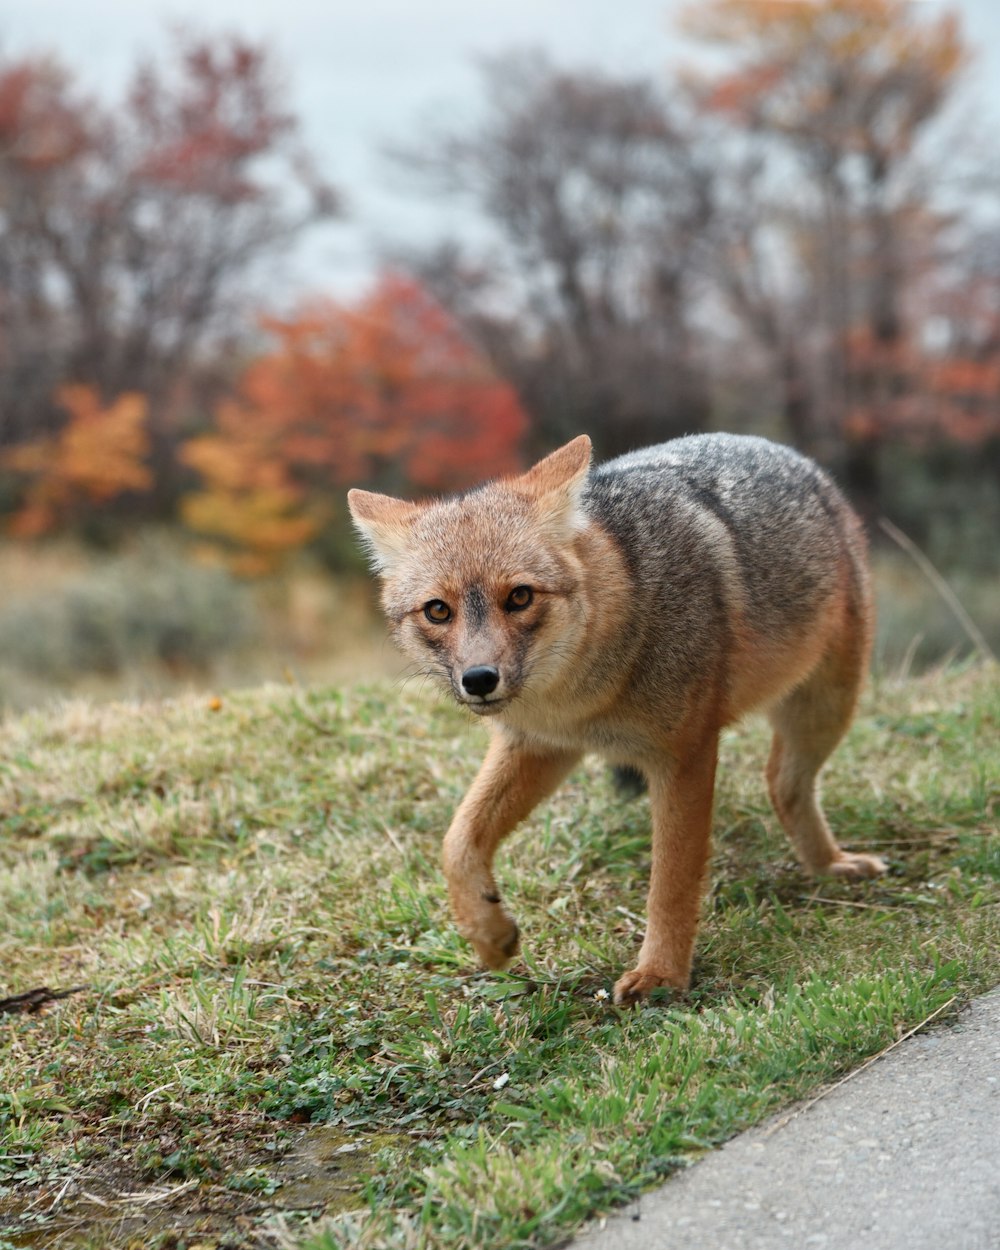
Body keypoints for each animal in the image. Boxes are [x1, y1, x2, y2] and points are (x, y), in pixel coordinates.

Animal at [347, 437, 885, 1005]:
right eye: (438, 611)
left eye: (519, 597)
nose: (479, 679)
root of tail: (787, 453)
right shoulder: (541, 747)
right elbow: (456, 842)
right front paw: (488, 935)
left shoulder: (685, 757)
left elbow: (670, 882)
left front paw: (661, 976)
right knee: (782, 784)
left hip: (826, 707)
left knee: (783, 782)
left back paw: (830, 865)